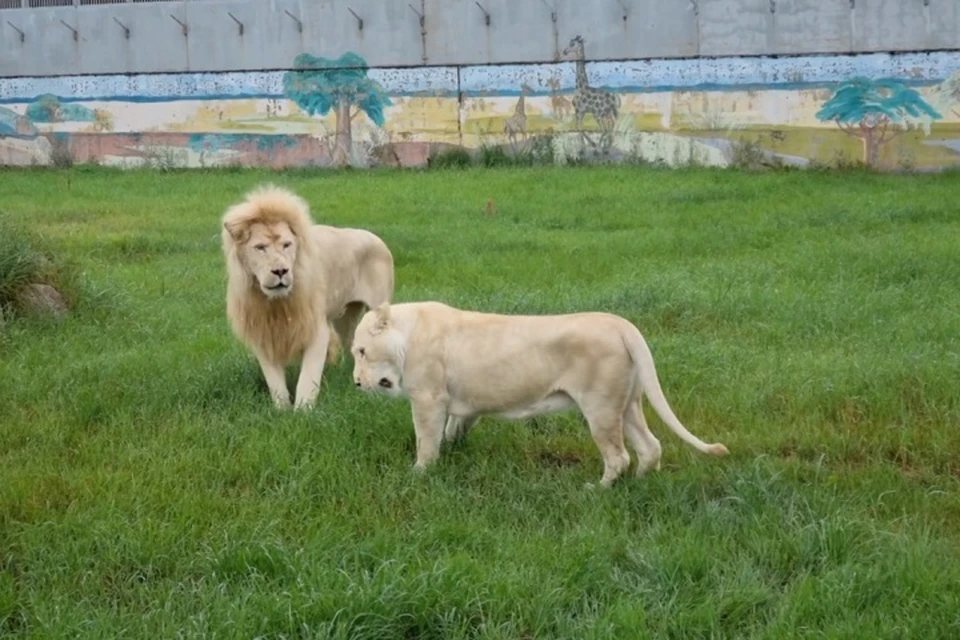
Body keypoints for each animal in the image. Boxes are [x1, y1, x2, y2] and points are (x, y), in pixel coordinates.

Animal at [222, 184, 394, 410]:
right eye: (260, 247)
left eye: (287, 244)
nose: (281, 271)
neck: (275, 304)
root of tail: (377, 238)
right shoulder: (263, 333)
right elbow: (274, 382)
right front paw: (282, 410)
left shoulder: (316, 329)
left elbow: (308, 376)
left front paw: (303, 410)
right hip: (345, 318)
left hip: (378, 309)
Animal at [352, 300, 728, 484]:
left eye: (361, 351)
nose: (356, 383)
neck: (406, 334)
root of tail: (623, 325)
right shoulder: (464, 405)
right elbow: (452, 431)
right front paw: (452, 451)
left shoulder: (428, 399)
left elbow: (426, 440)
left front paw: (419, 473)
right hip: (628, 404)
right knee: (650, 447)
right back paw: (637, 484)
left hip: (600, 406)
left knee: (619, 456)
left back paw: (597, 490)